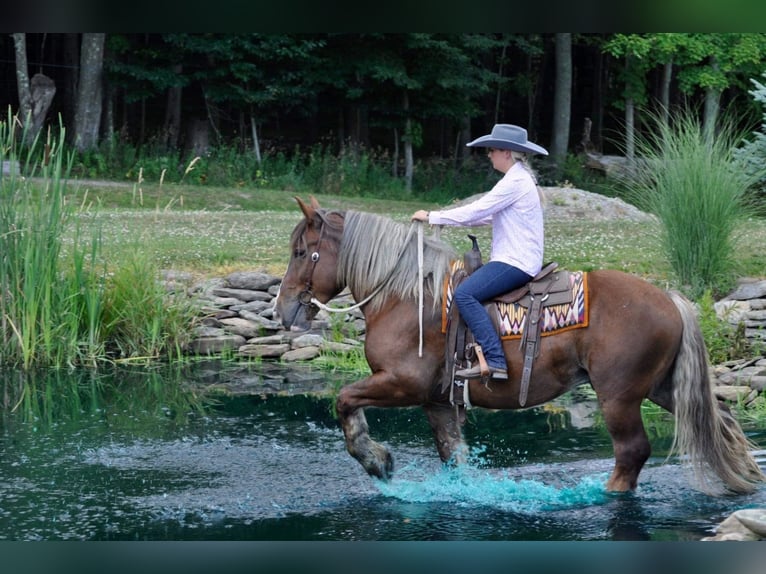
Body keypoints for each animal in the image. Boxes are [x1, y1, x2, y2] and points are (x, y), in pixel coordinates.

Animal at [272, 197, 764, 496]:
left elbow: (344, 400)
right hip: (663, 387)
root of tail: (671, 299)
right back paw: (744, 476)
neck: (405, 295)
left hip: (619, 396)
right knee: (721, 421)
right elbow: (454, 455)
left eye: (300, 252)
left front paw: (376, 460)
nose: (282, 310)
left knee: (632, 452)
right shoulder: (438, 401)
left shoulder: (400, 383)